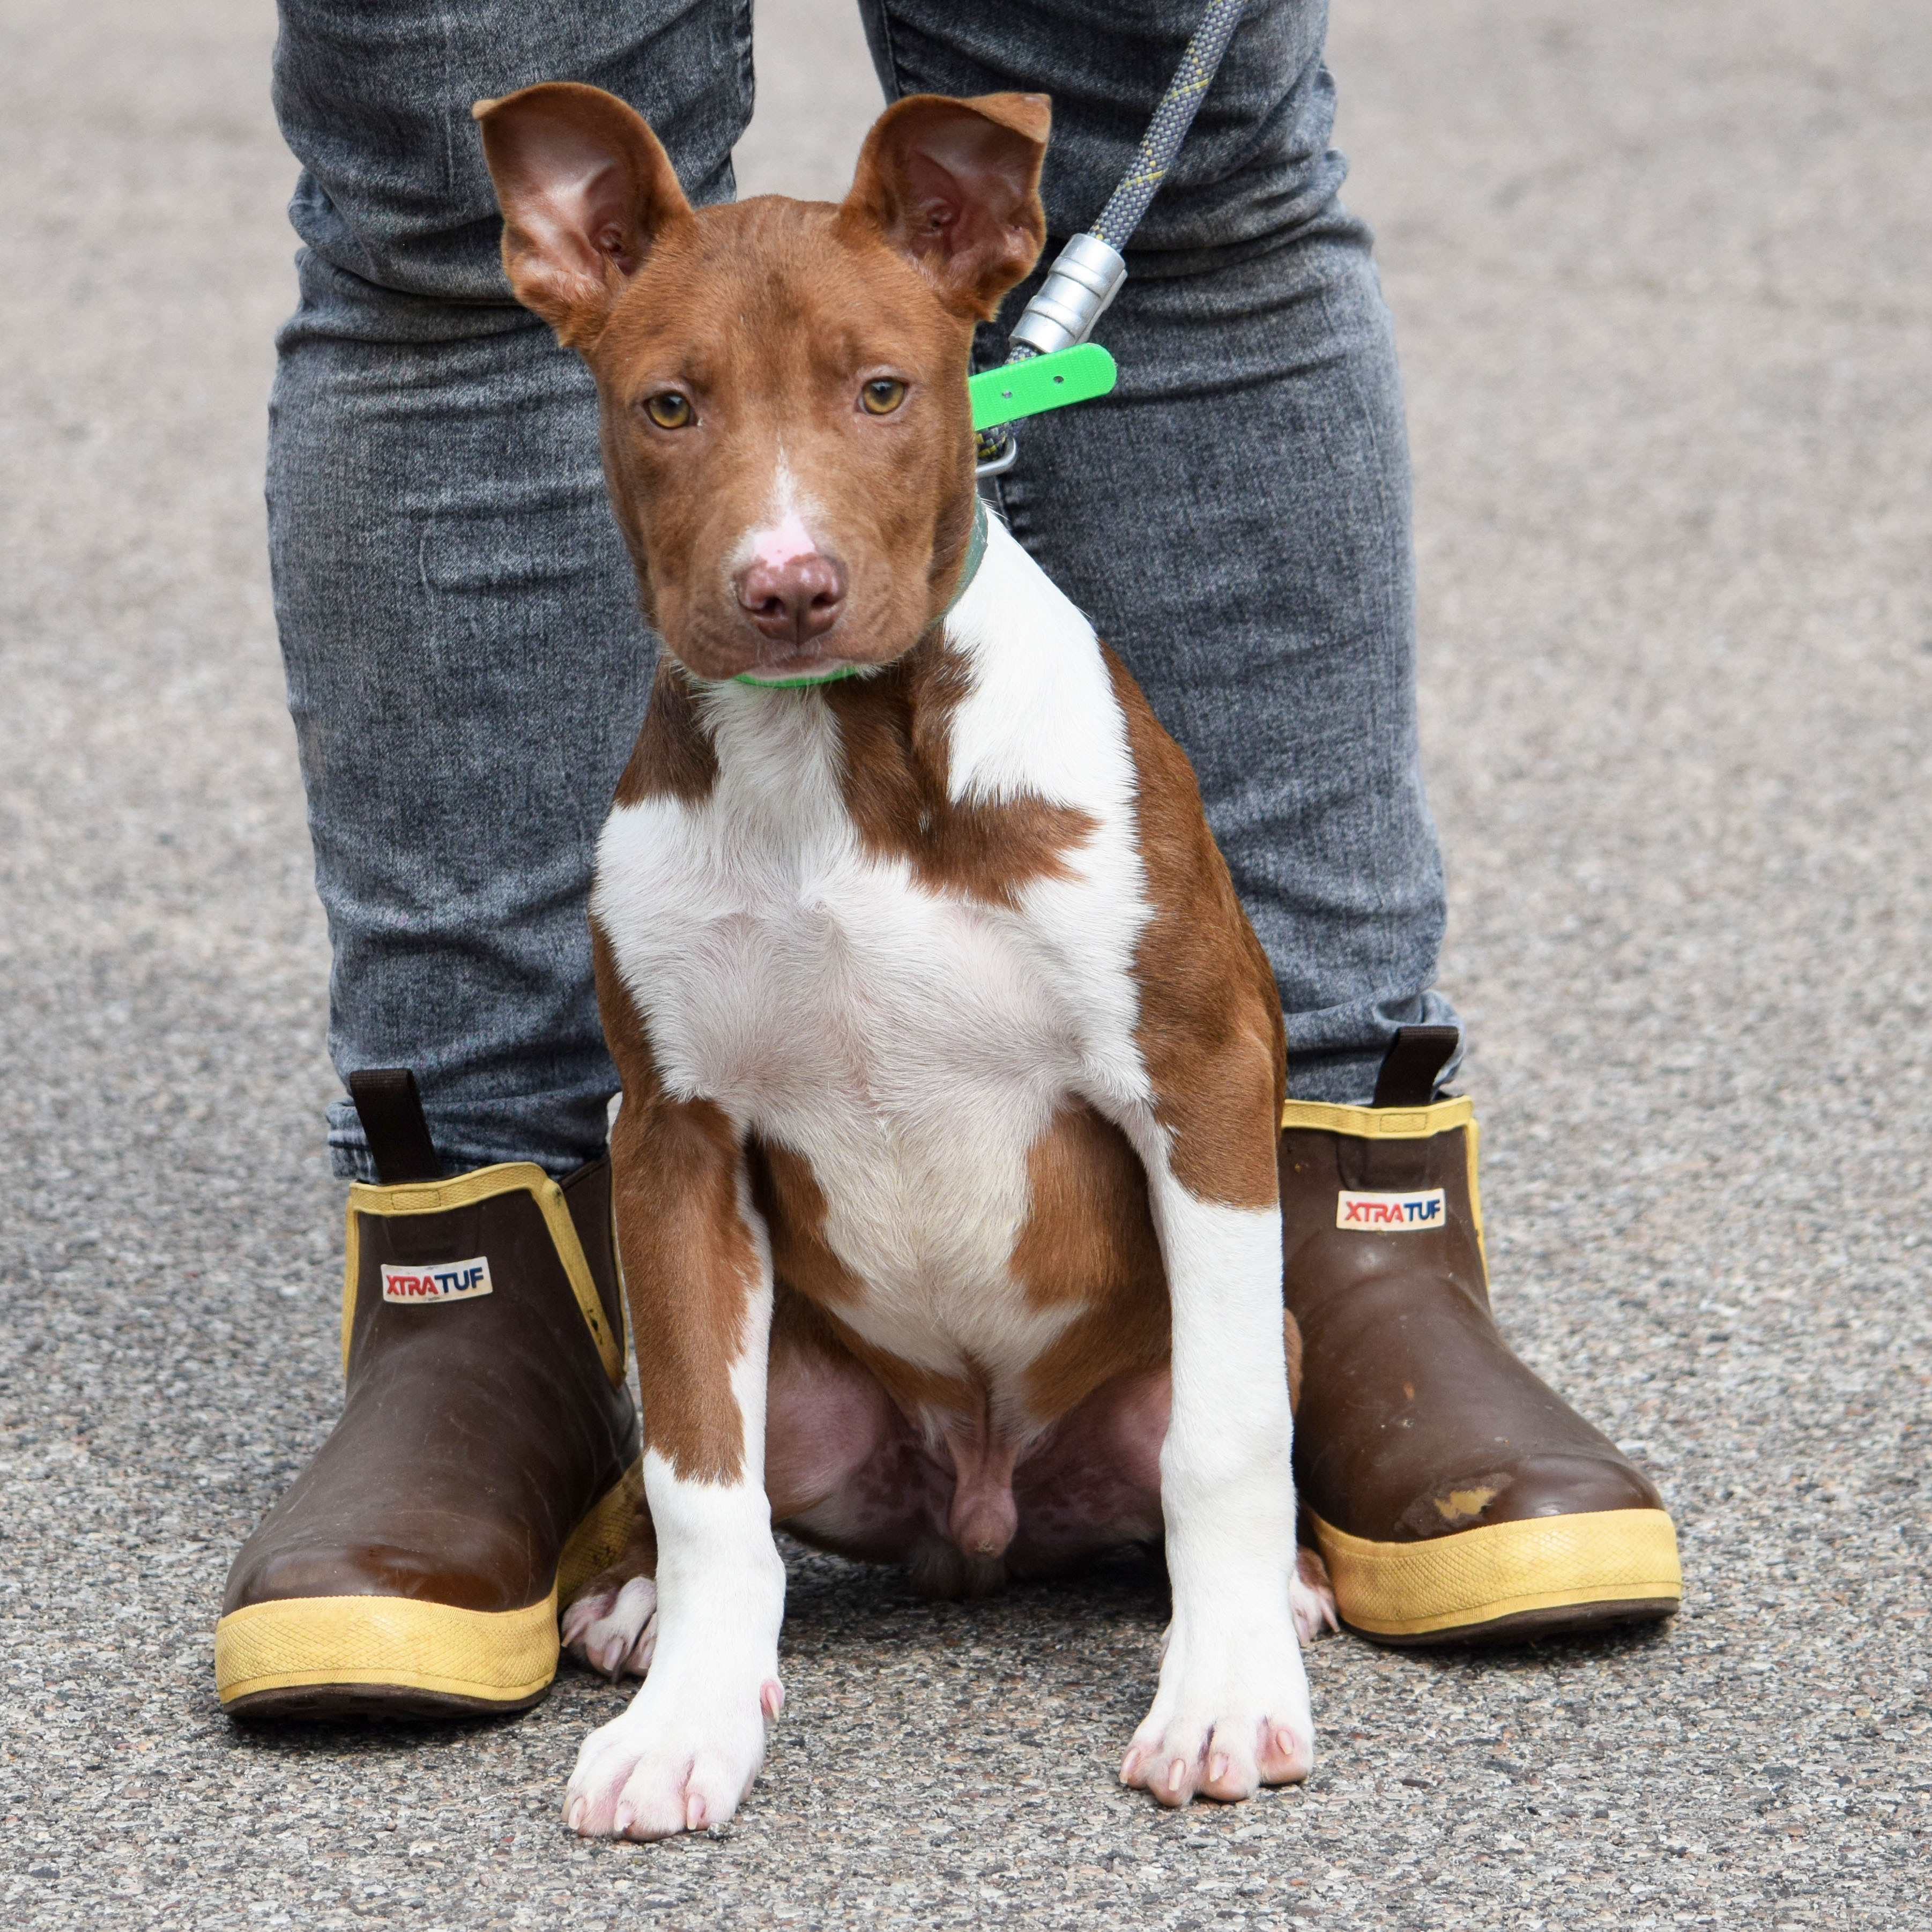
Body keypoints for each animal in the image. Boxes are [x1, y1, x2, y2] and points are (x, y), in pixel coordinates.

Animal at [475, 79, 1336, 1839]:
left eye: (882, 390)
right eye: (668, 406)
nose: (785, 588)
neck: (840, 757)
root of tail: (985, 1509)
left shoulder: (1198, 1072)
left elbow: (1221, 1441)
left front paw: (1225, 1701)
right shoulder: (670, 1129)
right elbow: (700, 1478)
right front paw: (686, 1725)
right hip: (797, 1372)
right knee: (706, 1464)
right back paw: (641, 1606)